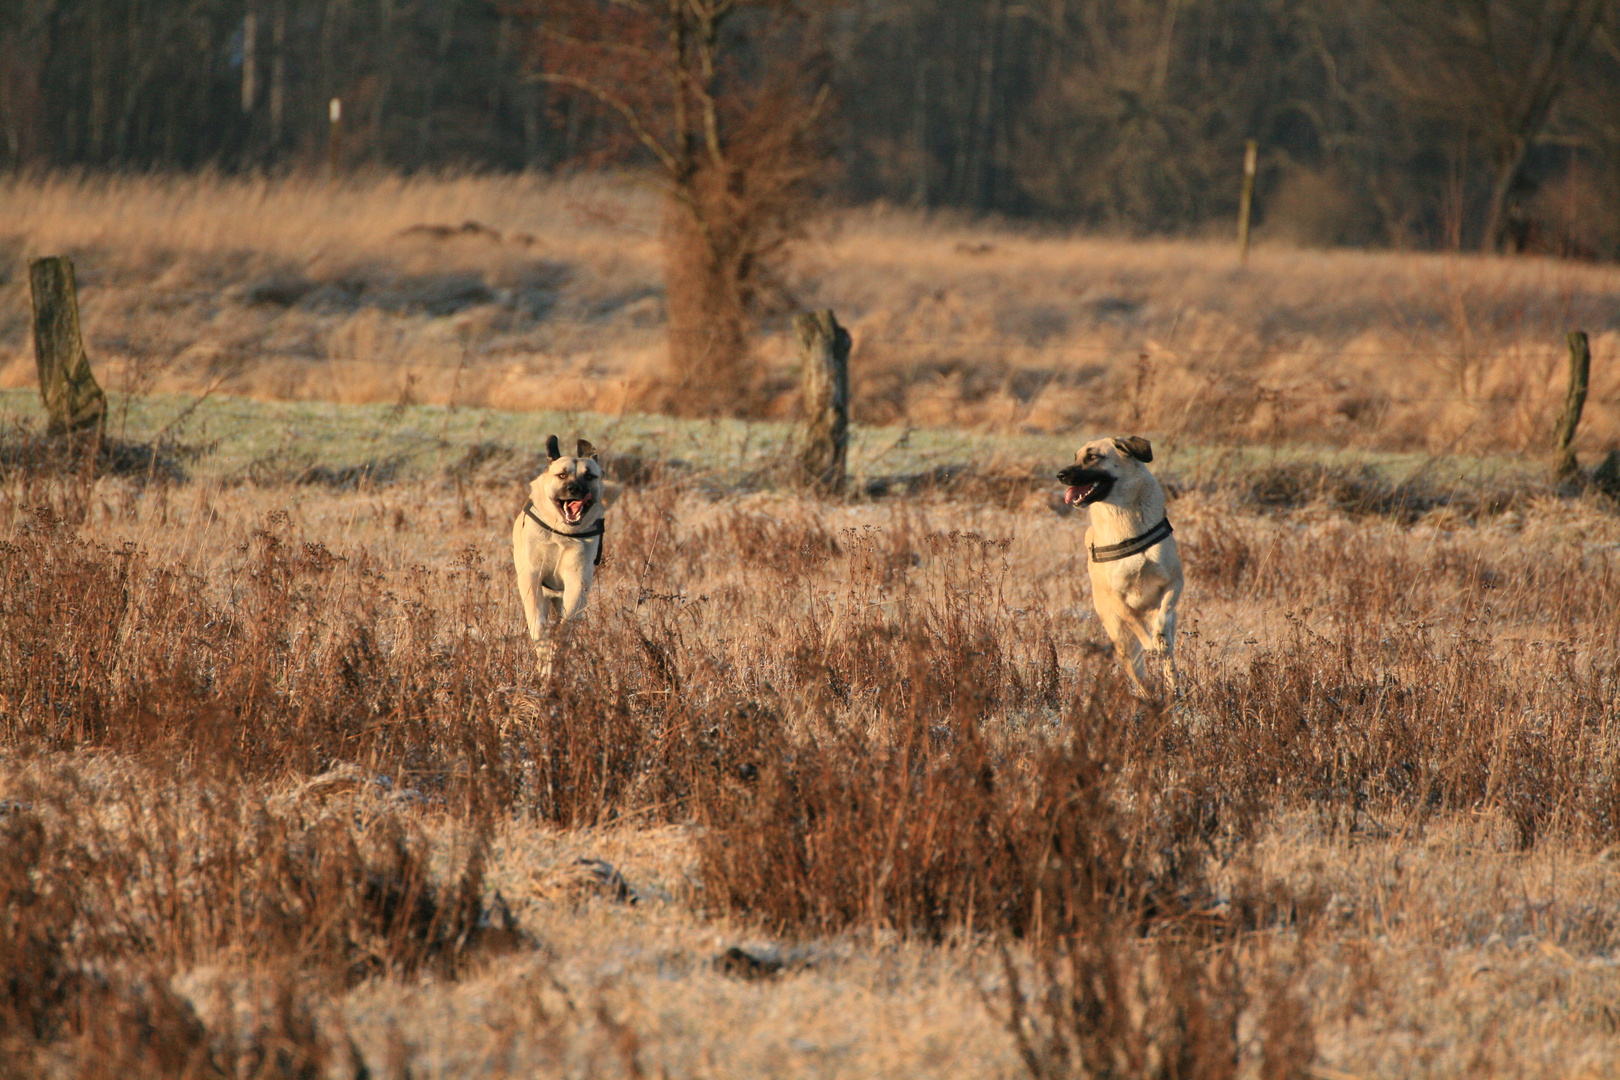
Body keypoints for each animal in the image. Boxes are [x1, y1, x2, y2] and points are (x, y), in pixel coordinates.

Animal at [511, 433, 612, 670]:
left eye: (590, 476)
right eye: (562, 475)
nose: (574, 489)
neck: (563, 534)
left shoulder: (577, 580)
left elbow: (568, 621)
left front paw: (558, 647)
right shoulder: (531, 577)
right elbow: (537, 620)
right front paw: (545, 650)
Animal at [1056, 433, 1185, 696]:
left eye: (1093, 456)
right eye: (1075, 457)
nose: (1060, 474)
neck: (1127, 524)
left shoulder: (1175, 581)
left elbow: (1163, 614)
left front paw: (1159, 635)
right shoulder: (1116, 597)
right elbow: (1135, 622)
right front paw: (1149, 642)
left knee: (1169, 664)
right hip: (1123, 643)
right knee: (1141, 678)